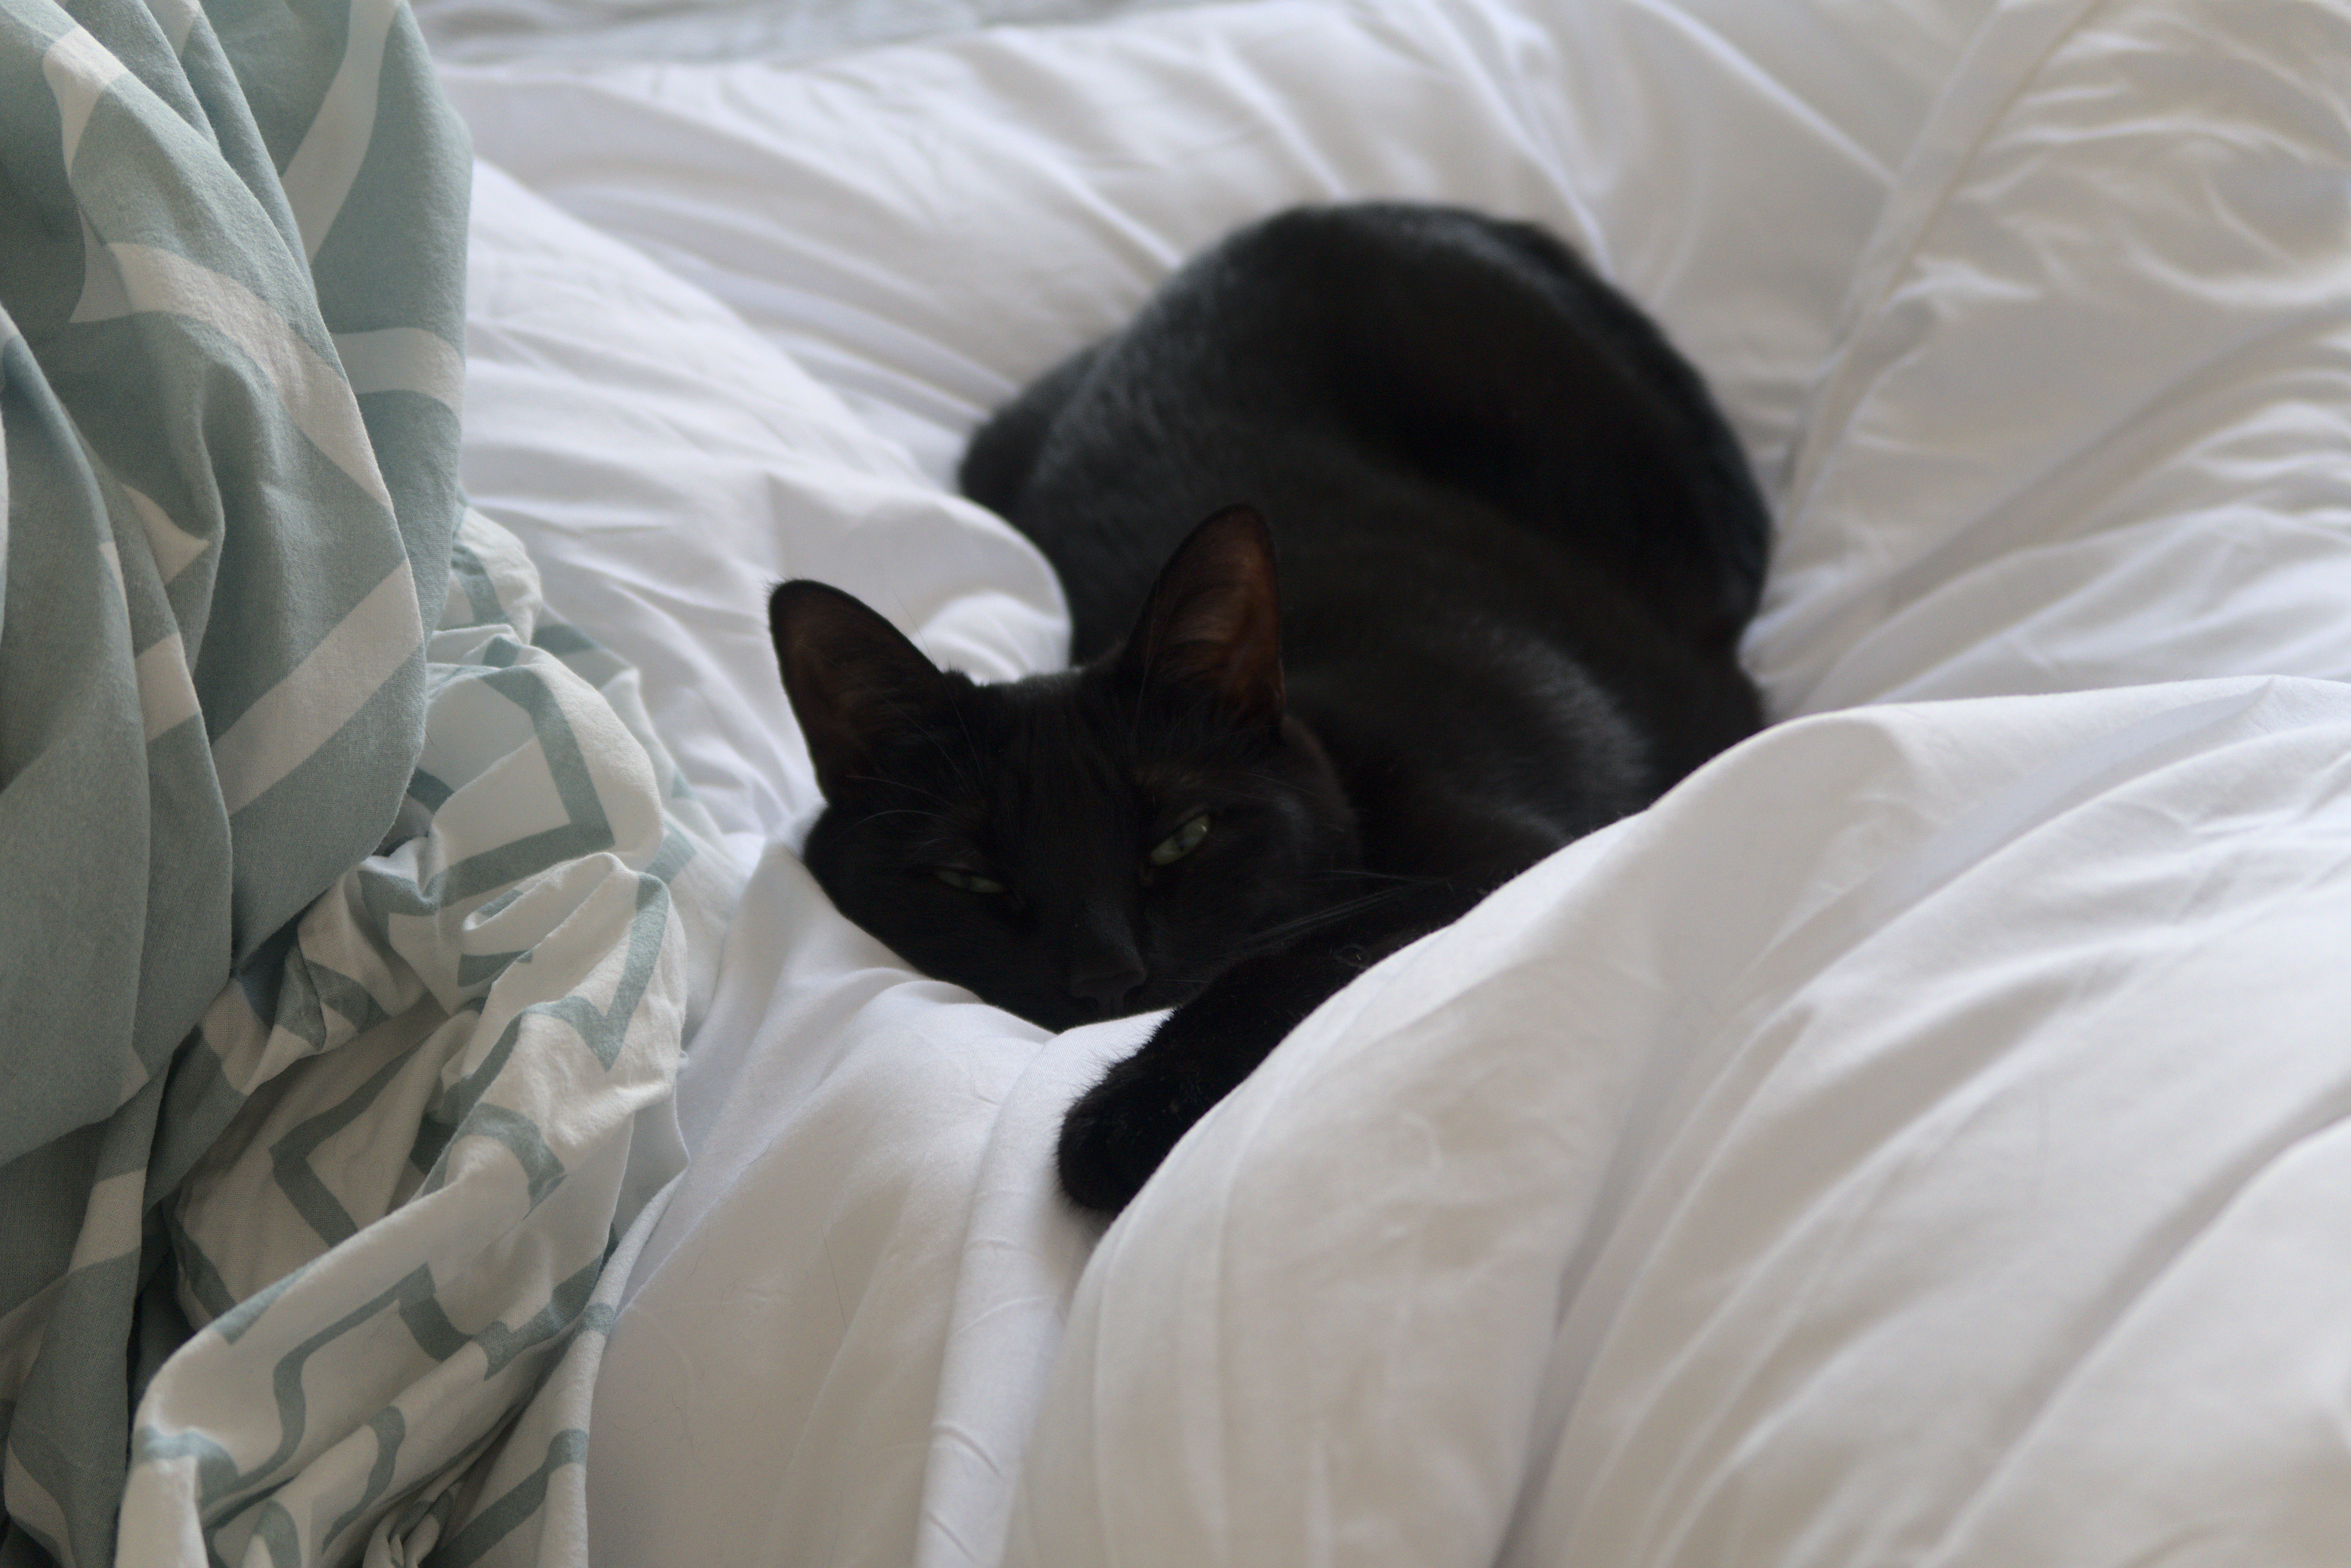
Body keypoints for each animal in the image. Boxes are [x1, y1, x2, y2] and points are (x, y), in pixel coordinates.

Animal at [771, 202, 1768, 1213]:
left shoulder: (1518, 866)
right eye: (968, 880)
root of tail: (1341, 212)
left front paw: (1120, 1120)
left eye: (1184, 838)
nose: (1105, 979)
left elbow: (1296, 958)